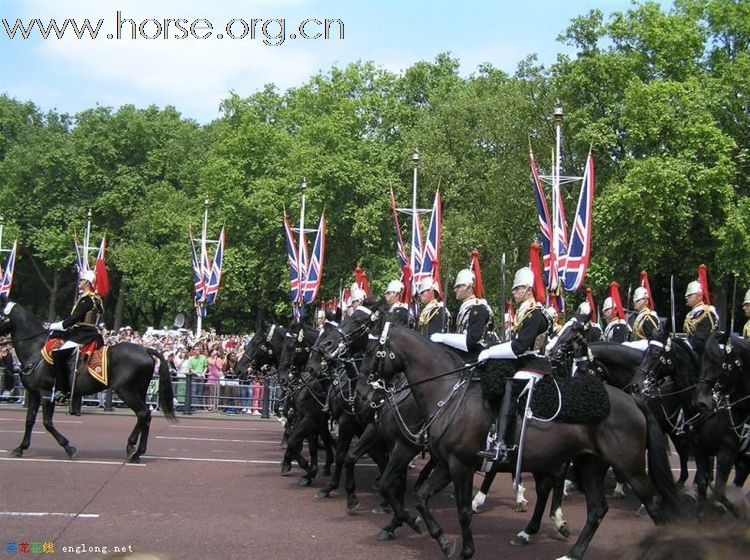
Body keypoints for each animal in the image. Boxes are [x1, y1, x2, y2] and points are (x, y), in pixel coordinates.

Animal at [0, 302, 175, 464]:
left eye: (1, 315)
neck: (35, 351)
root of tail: (145, 350)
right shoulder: (34, 393)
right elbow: (30, 420)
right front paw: (20, 448)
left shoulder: (46, 393)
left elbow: (47, 423)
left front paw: (69, 448)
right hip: (139, 391)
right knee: (146, 417)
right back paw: (138, 452)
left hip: (126, 391)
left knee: (143, 413)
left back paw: (132, 447)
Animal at [334, 302, 688, 560]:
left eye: (371, 351)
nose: (362, 396)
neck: (447, 392)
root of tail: (632, 399)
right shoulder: (445, 462)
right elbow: (418, 496)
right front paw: (435, 536)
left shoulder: (452, 462)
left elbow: (460, 510)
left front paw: (463, 548)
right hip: (590, 463)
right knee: (595, 509)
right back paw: (568, 550)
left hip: (630, 468)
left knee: (653, 505)